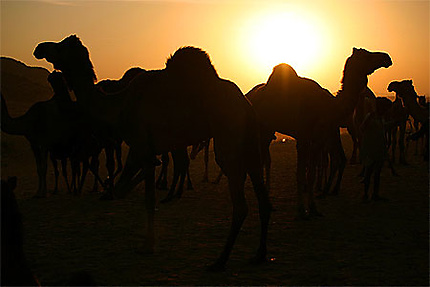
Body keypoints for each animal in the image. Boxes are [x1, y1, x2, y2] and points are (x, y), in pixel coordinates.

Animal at [35, 35, 272, 272]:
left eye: (61, 46)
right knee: (263, 198)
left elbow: (149, 198)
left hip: (228, 140)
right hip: (251, 145)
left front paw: (148, 245)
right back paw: (259, 255)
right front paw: (114, 192)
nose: (40, 48)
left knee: (240, 205)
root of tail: (246, 104)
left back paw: (220, 261)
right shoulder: (141, 149)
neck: (119, 104)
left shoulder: (143, 146)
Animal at [240, 47, 392, 218]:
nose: (386, 58)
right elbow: (300, 173)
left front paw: (313, 208)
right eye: (366, 55)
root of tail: (248, 96)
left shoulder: (318, 139)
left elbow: (311, 173)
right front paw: (301, 210)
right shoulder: (303, 136)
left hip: (267, 130)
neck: (328, 106)